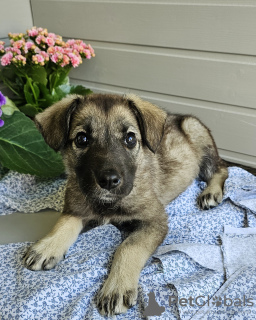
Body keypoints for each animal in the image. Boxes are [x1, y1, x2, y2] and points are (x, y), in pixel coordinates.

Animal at [23, 94, 228, 316]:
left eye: (130, 139)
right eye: (82, 139)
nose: (109, 181)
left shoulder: (154, 221)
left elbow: (128, 247)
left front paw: (117, 286)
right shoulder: (76, 208)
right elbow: (64, 224)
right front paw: (47, 246)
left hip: (196, 133)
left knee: (222, 168)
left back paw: (211, 192)